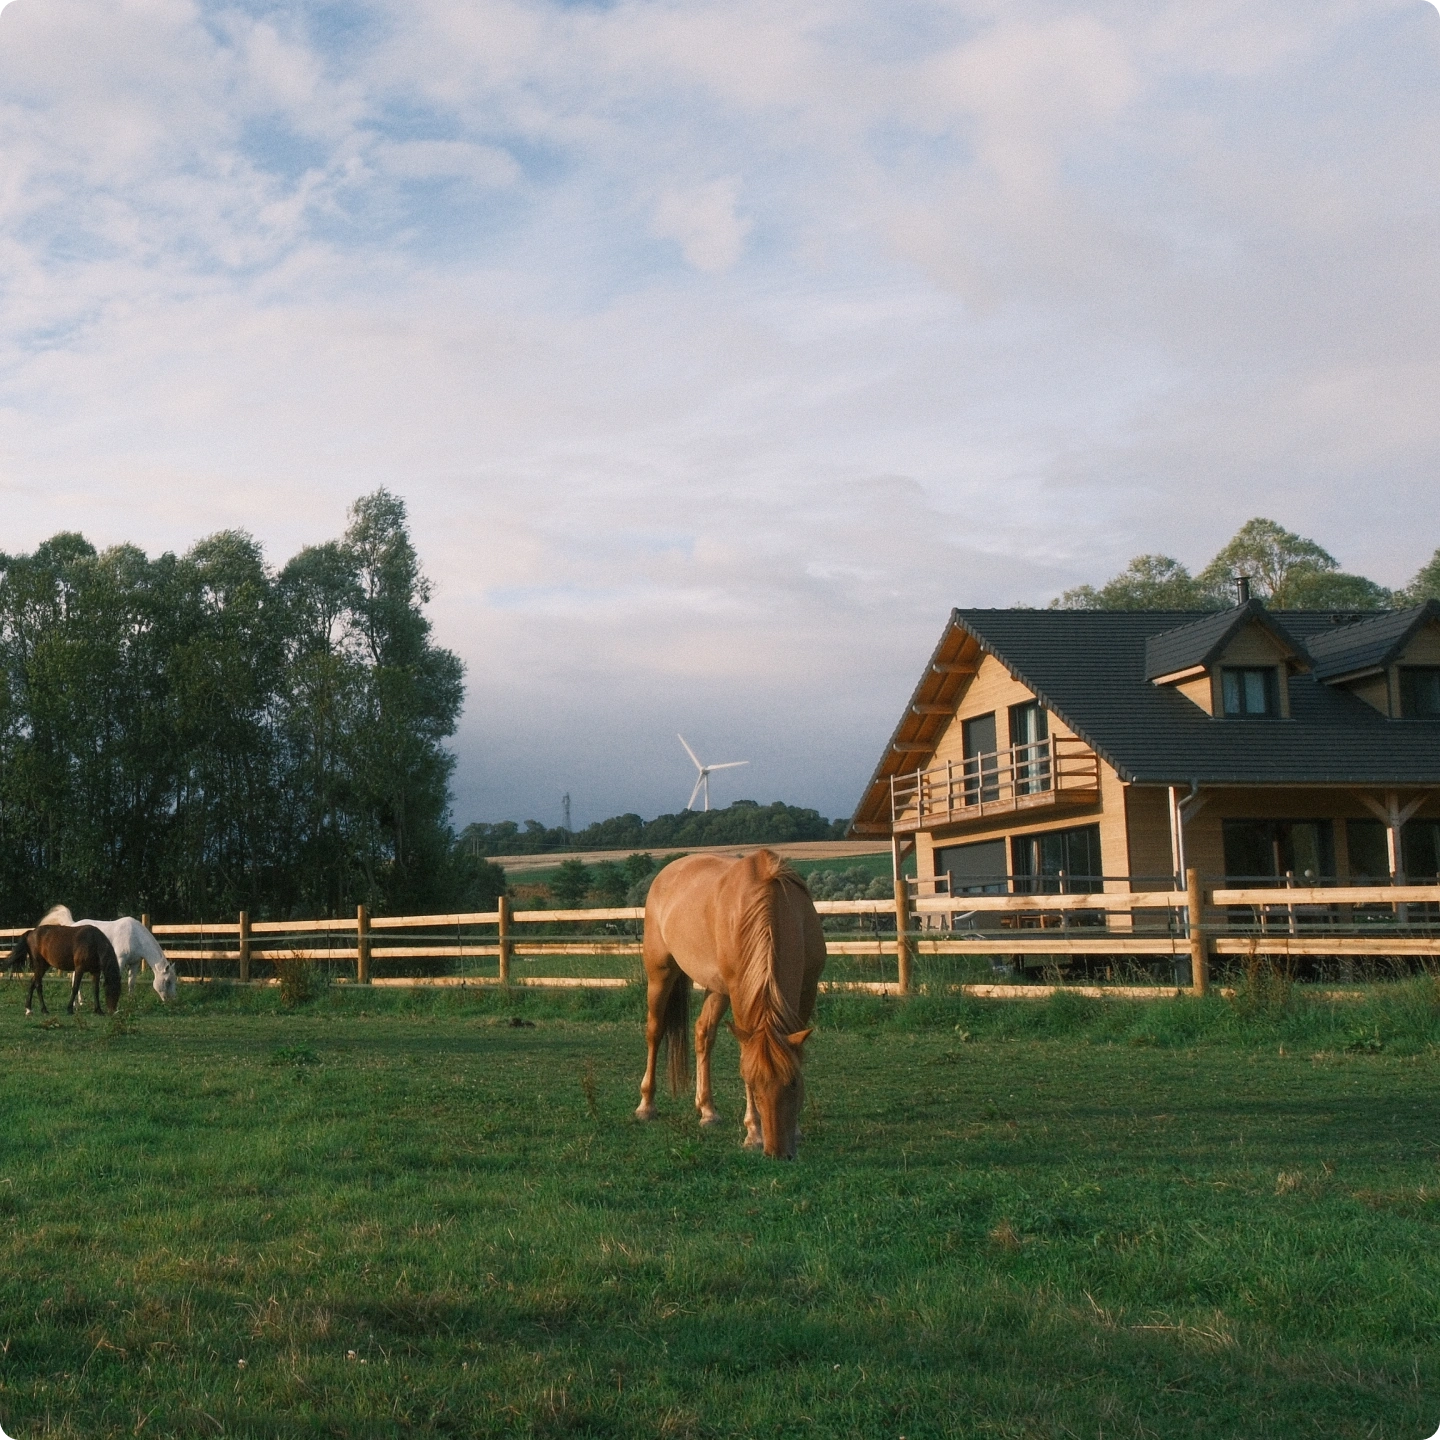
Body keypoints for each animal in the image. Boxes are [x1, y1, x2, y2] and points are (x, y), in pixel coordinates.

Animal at [40, 906, 176, 1002]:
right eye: (168, 981)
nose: (172, 1000)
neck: (135, 936)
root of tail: (73, 925)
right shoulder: (120, 960)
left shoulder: (134, 963)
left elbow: (131, 982)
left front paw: (130, 1001)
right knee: (74, 979)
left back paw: (80, 1002)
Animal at [636, 849, 826, 1158]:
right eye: (752, 1082)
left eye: (793, 1083)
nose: (777, 1152)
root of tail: (667, 873)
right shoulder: (739, 993)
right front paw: (753, 1132)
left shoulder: (808, 987)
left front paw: (796, 1129)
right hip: (660, 974)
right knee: (655, 1031)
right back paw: (646, 1106)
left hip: (717, 989)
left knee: (703, 1033)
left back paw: (707, 1110)